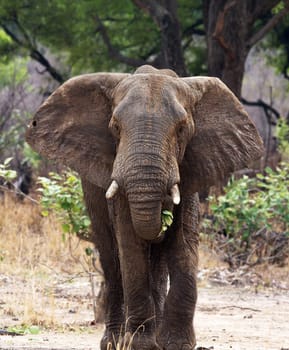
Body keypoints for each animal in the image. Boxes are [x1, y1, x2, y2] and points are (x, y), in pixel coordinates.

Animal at [25, 65, 262, 350]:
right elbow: (130, 246)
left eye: (182, 129)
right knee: (111, 258)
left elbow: (184, 244)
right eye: (115, 128)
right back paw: (115, 342)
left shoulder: (190, 167)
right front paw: (140, 344)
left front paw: (177, 344)